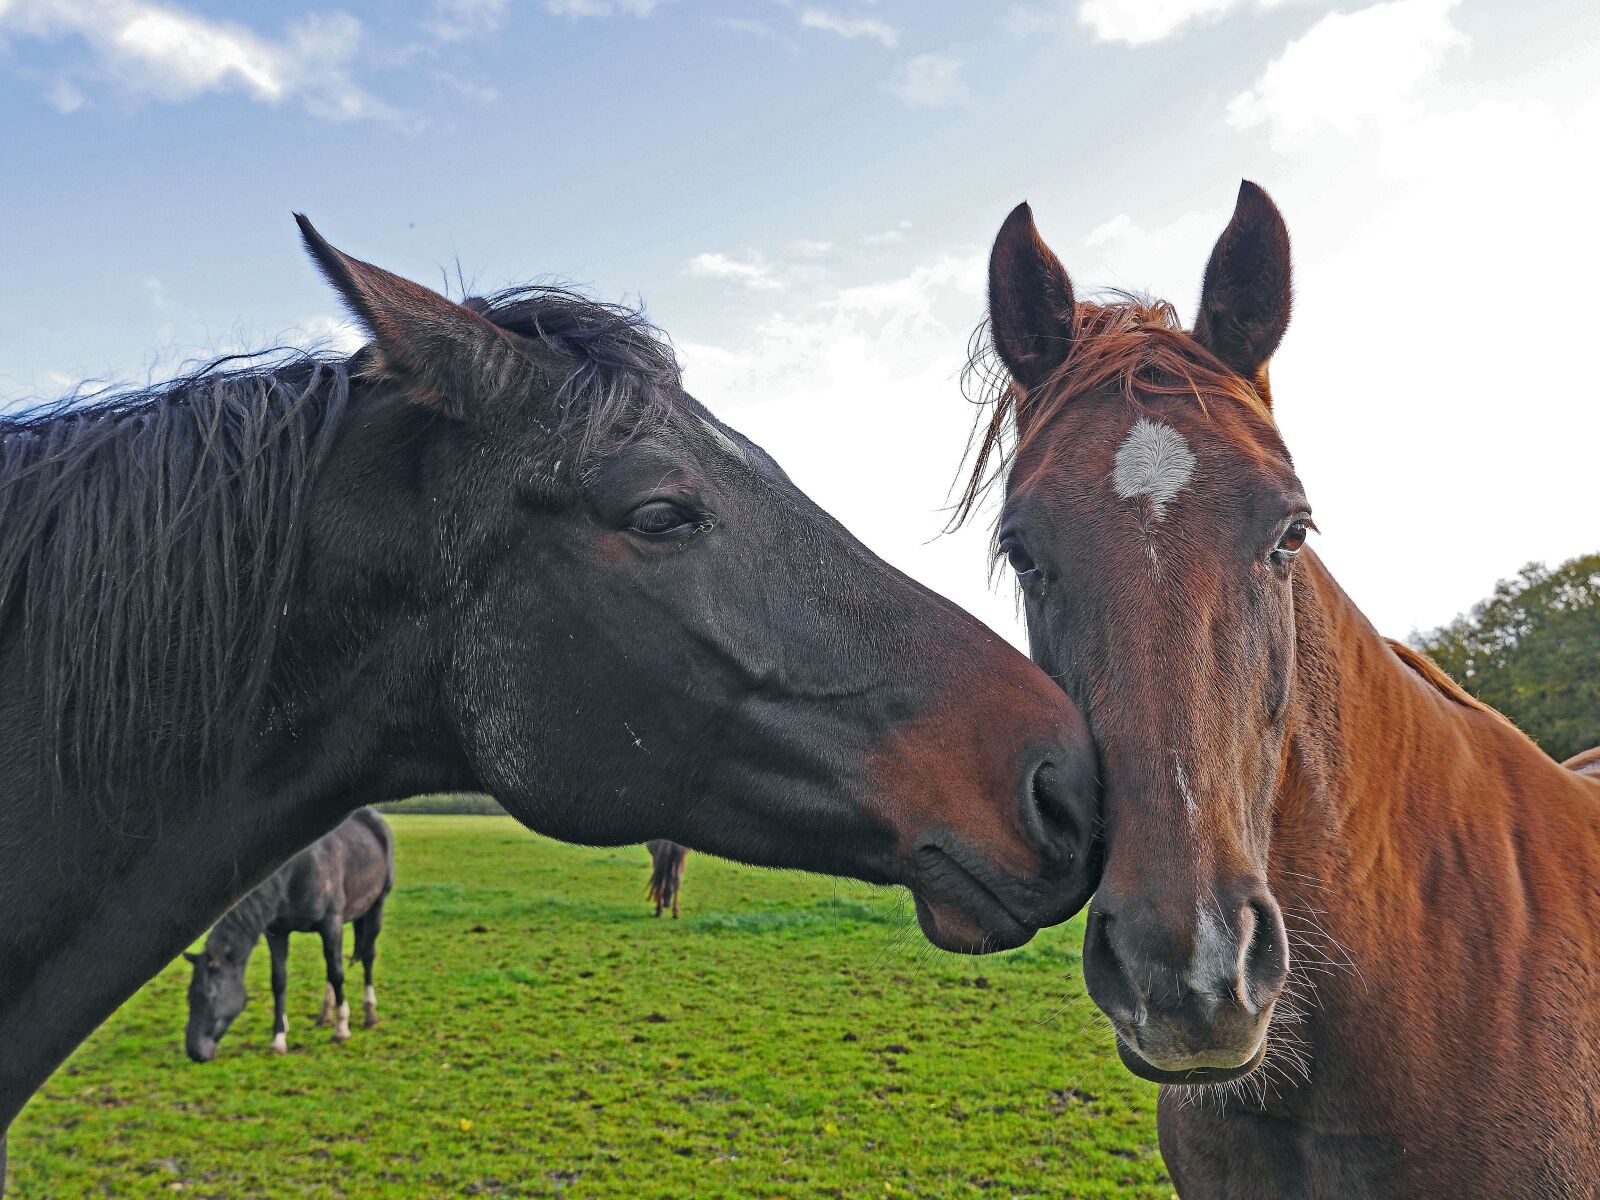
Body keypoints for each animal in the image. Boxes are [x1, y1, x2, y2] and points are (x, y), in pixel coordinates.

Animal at [184, 809, 393, 1062]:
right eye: (190, 996)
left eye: (212, 995)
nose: (194, 1051)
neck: (296, 871)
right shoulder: (278, 933)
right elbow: (279, 981)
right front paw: (278, 1038)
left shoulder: (330, 924)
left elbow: (337, 974)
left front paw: (342, 1028)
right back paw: (325, 1014)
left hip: (377, 905)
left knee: (367, 956)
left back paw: (369, 1012)